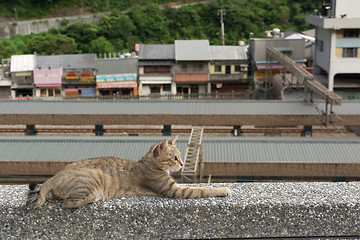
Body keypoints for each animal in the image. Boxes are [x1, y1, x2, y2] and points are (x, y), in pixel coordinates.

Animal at [28, 135, 231, 208]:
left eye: (180, 156)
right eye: (174, 157)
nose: (181, 164)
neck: (147, 163)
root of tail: (52, 179)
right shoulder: (175, 190)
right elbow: (203, 189)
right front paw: (224, 189)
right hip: (94, 177)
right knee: (68, 203)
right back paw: (94, 198)